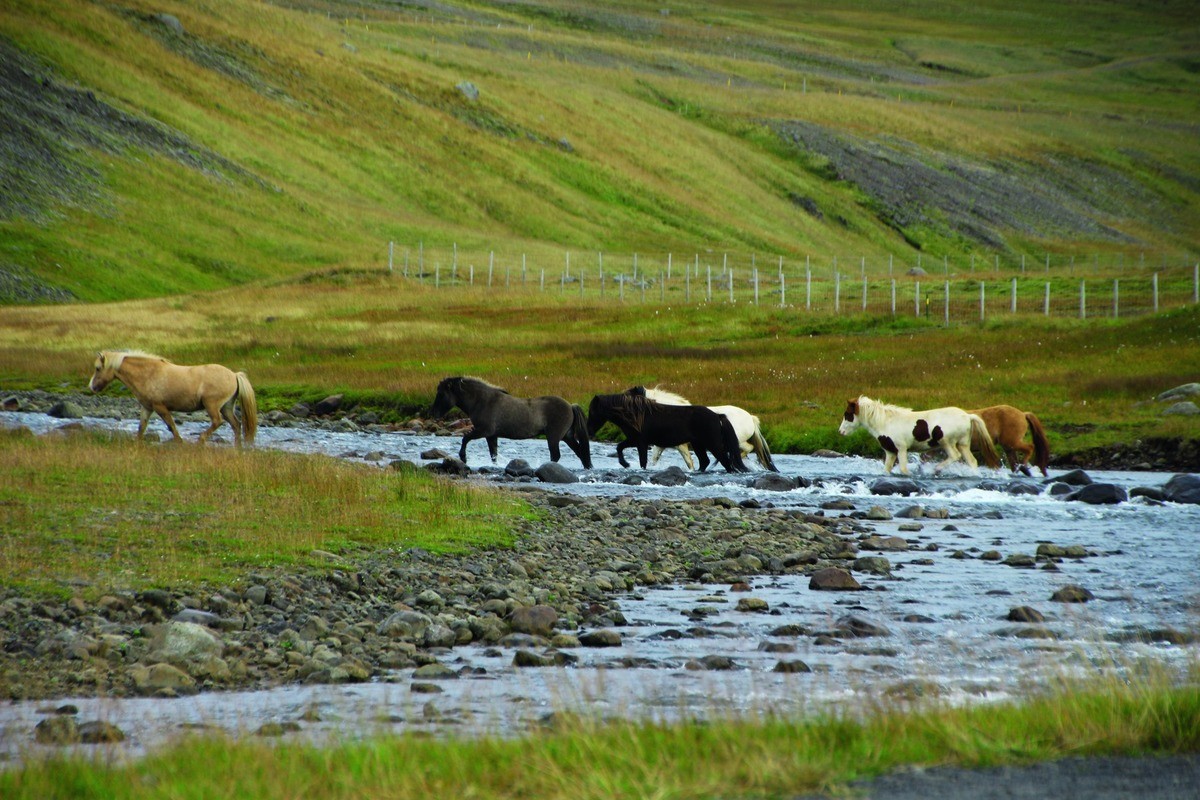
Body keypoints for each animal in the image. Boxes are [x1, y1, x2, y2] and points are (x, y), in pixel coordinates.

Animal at [88, 350, 258, 448]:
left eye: (98, 368)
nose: (92, 387)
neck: (148, 374)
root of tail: (234, 375)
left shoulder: (160, 407)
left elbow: (171, 426)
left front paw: (180, 442)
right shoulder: (147, 407)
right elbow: (141, 427)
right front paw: (137, 443)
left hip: (212, 405)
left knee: (218, 422)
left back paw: (201, 440)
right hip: (226, 407)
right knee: (236, 425)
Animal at [429, 376, 592, 470]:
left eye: (441, 394)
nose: (433, 413)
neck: (483, 401)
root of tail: (570, 406)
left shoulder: (484, 431)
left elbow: (465, 438)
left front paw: (463, 458)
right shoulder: (491, 435)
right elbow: (493, 454)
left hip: (554, 437)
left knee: (556, 455)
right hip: (567, 436)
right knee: (580, 453)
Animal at [583, 393, 744, 472]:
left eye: (592, 411)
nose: (589, 430)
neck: (635, 415)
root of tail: (717, 416)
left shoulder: (641, 443)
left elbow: (643, 461)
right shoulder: (633, 440)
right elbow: (619, 447)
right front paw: (625, 464)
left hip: (713, 444)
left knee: (726, 462)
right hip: (698, 444)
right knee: (705, 461)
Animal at [624, 386, 782, 472]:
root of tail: (750, 417)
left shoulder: (681, 446)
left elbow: (689, 461)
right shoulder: (662, 445)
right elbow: (655, 459)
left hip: (738, 441)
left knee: (748, 448)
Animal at [840, 395, 1008, 474]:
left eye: (848, 414)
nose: (841, 432)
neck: (886, 422)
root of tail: (967, 416)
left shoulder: (901, 449)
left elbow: (903, 469)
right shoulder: (890, 452)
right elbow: (887, 470)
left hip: (946, 442)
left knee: (955, 456)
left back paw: (936, 469)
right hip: (963, 444)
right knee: (972, 461)